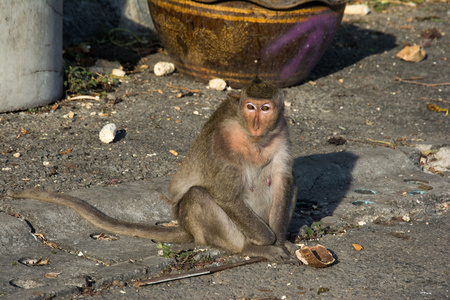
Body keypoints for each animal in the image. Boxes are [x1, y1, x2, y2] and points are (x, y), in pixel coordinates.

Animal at [8, 77, 298, 262]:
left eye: (265, 108)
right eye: (250, 107)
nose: (257, 123)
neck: (255, 139)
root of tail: (187, 229)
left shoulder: (282, 129)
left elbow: (283, 179)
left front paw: (281, 239)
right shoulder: (223, 139)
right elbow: (225, 195)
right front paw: (271, 241)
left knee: (291, 183)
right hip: (206, 228)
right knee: (198, 196)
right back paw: (248, 248)